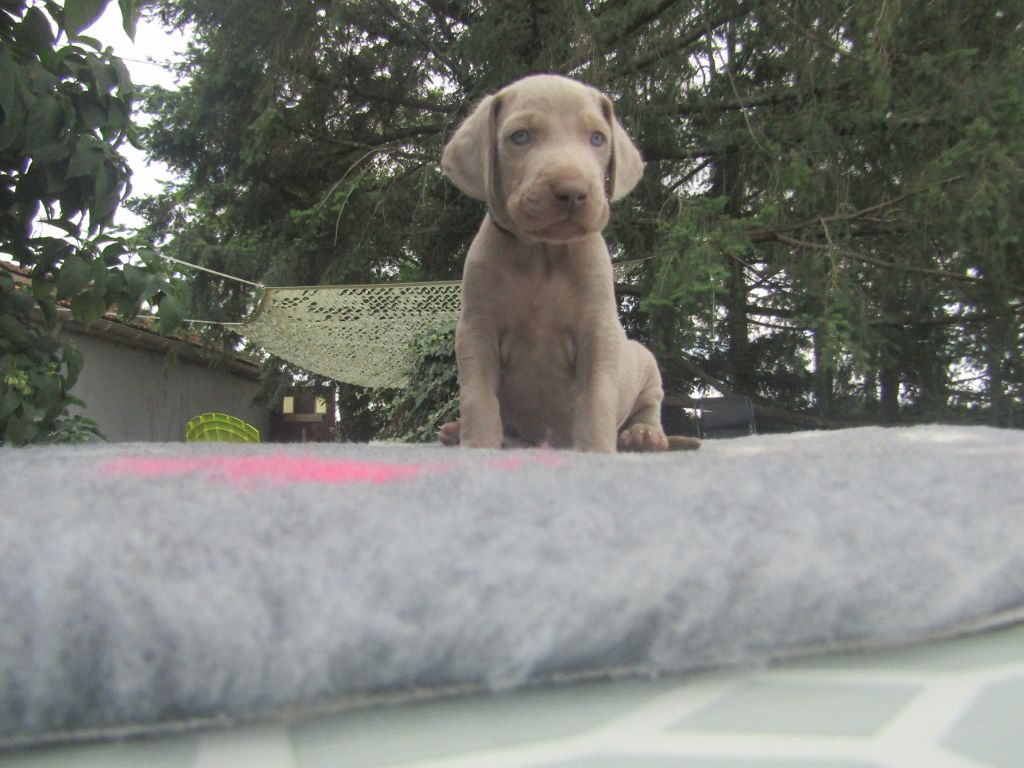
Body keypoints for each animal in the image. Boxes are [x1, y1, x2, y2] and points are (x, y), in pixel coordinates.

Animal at [438, 74, 693, 453]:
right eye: (520, 137)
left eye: (598, 138)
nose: (572, 191)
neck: (542, 253)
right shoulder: (476, 329)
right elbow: (478, 395)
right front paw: (478, 444)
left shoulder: (598, 330)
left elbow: (597, 396)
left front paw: (596, 449)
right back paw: (458, 432)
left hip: (643, 360)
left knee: (650, 405)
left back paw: (643, 435)